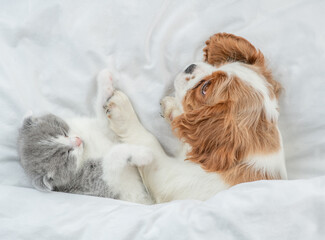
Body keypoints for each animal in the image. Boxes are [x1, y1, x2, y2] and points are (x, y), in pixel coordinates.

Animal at [17, 70, 153, 204]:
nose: (77, 141)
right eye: (66, 155)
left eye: (63, 132)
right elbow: (113, 156)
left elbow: (102, 116)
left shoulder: (103, 130)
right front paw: (142, 154)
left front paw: (105, 81)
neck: (85, 150)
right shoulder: (96, 182)